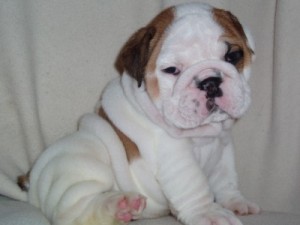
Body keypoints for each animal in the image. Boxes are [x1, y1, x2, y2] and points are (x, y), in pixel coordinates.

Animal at [26, 2, 260, 225]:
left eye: (233, 56)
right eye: (172, 70)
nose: (210, 82)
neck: (206, 134)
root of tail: (29, 179)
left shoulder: (224, 147)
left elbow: (226, 179)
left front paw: (235, 202)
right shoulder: (175, 154)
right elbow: (194, 186)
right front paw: (209, 213)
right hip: (83, 162)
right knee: (74, 212)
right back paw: (116, 205)